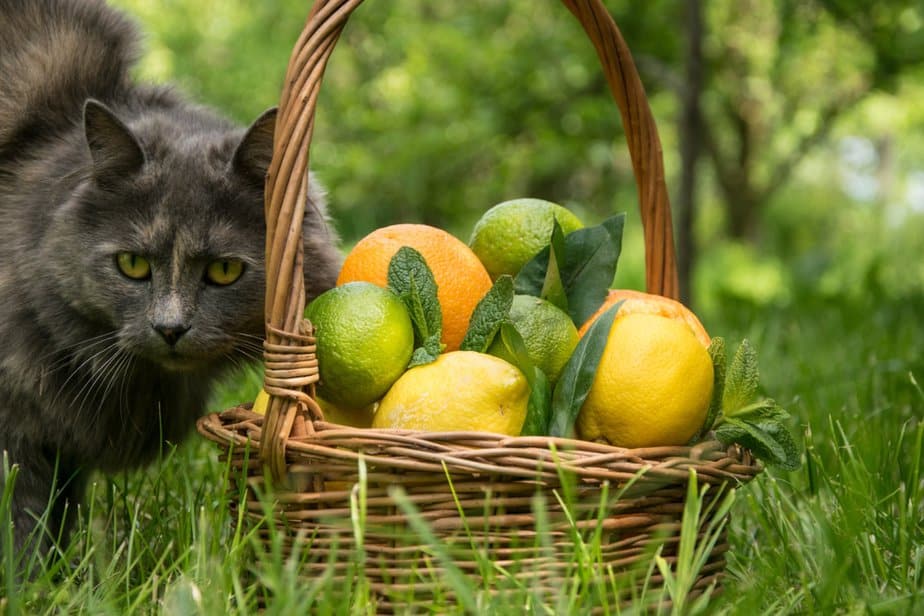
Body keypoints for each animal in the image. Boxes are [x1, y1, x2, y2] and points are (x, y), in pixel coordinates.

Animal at [0, 0, 342, 560]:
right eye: (132, 265)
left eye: (224, 271)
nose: (170, 329)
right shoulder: (18, 432)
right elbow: (21, 526)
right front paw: (30, 576)